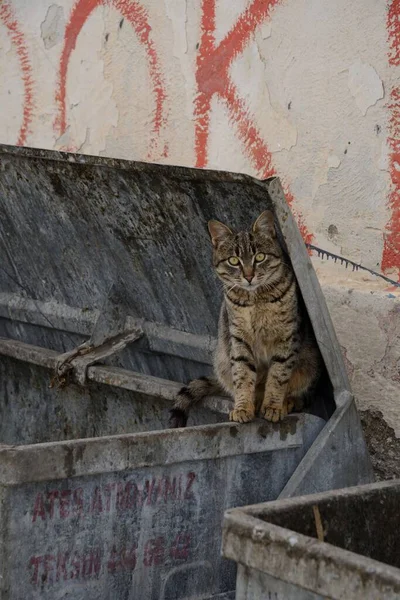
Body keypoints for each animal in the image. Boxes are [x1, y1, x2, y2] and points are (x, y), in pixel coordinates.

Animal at [169, 211, 322, 426]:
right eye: (234, 260)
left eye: (260, 257)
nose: (249, 276)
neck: (255, 300)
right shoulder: (239, 340)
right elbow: (242, 376)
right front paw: (243, 407)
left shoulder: (286, 338)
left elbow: (278, 376)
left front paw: (273, 406)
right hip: (222, 361)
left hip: (310, 365)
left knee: (299, 394)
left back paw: (287, 402)